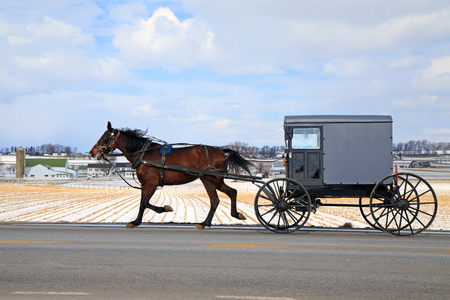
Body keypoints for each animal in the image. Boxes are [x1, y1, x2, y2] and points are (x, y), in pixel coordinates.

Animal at [89, 122, 255, 230]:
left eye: (104, 137)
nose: (92, 152)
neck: (144, 154)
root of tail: (220, 151)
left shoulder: (151, 184)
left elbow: (145, 203)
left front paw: (163, 209)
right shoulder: (145, 184)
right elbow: (142, 203)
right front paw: (136, 221)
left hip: (209, 179)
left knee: (216, 199)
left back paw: (204, 222)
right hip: (214, 180)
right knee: (230, 193)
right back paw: (231, 215)